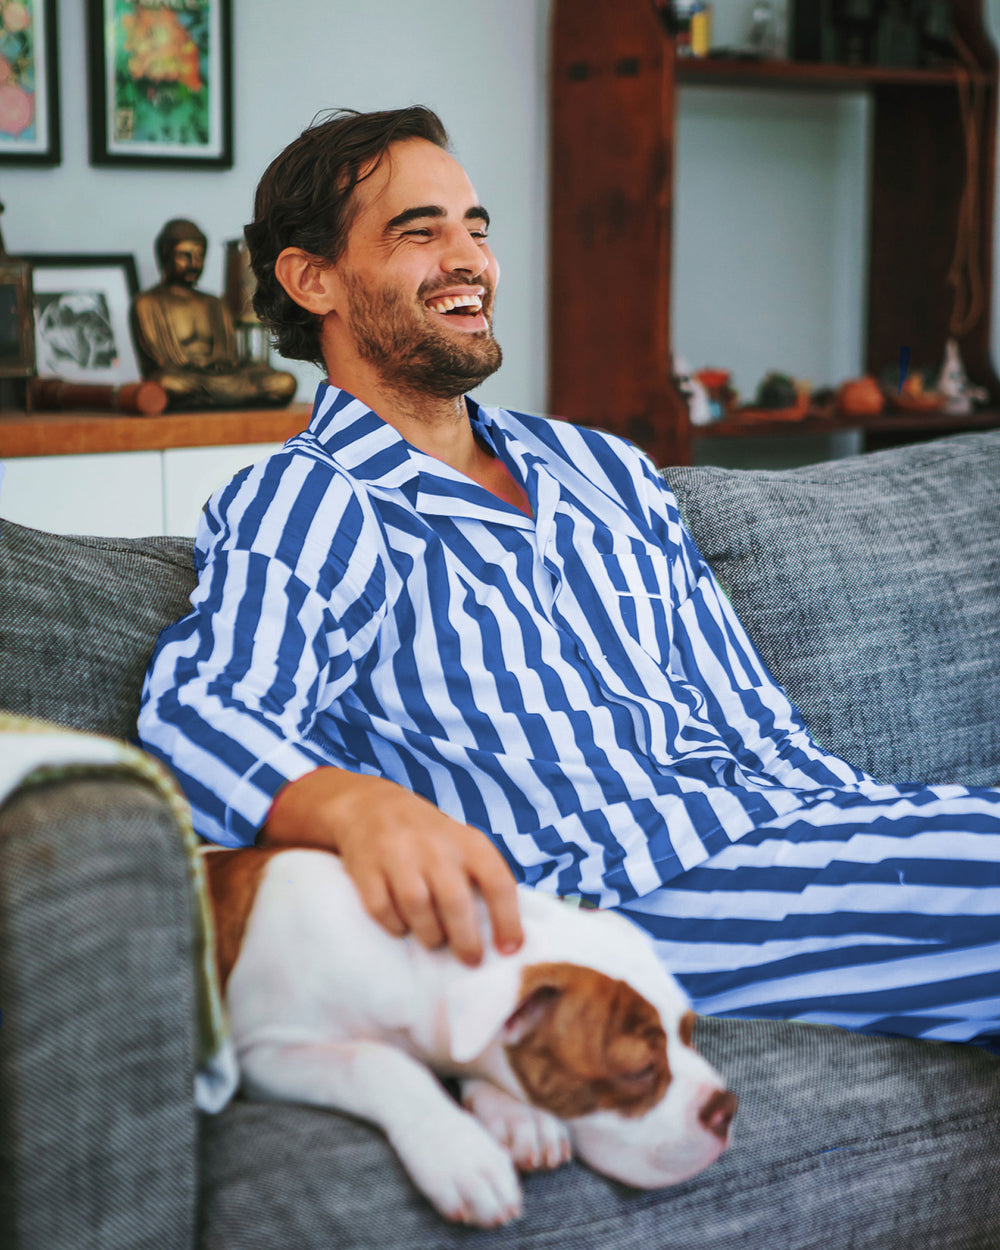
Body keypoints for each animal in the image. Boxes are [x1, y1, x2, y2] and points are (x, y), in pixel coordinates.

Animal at [205, 845, 735, 1225]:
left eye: (689, 1032)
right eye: (639, 1069)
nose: (726, 1109)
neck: (416, 957)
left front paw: (521, 1118)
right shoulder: (267, 1052)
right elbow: (379, 1060)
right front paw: (460, 1153)